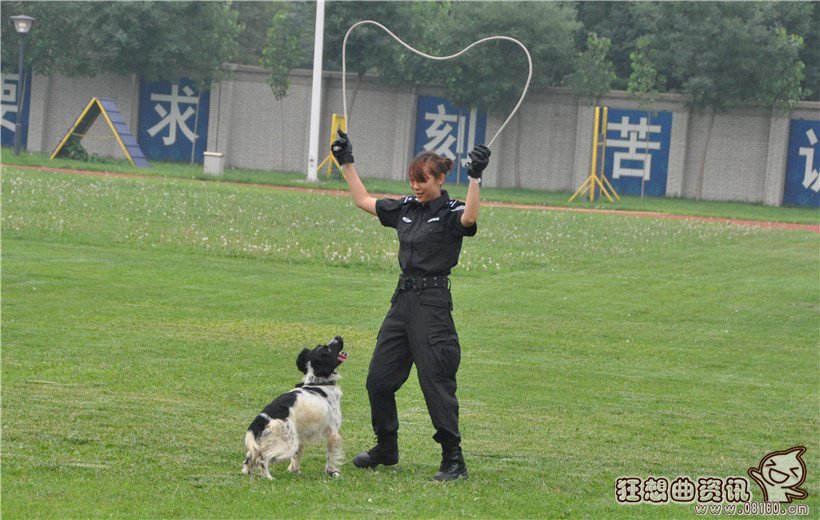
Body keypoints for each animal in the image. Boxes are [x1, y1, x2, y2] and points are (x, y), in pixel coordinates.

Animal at [242, 338, 348, 480]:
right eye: (329, 349)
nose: (338, 337)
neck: (319, 382)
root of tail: (260, 420)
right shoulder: (333, 433)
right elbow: (331, 456)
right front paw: (332, 472)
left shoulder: (299, 436)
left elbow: (298, 455)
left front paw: (295, 471)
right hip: (287, 446)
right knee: (262, 459)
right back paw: (269, 478)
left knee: (249, 459)